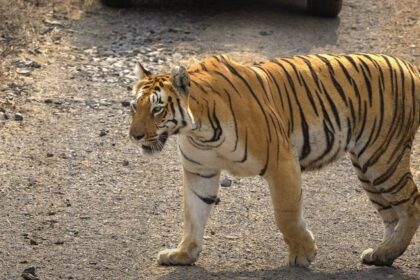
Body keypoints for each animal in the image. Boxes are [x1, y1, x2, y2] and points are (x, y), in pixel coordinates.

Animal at [129, 53, 420, 266]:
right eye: (134, 107)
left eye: (157, 108)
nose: (134, 135)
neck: (198, 130)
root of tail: (409, 65)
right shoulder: (200, 171)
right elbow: (193, 214)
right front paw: (183, 254)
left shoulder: (281, 161)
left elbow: (286, 214)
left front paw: (303, 253)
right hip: (367, 168)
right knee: (391, 214)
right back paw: (382, 254)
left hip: (383, 158)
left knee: (411, 204)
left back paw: (387, 251)